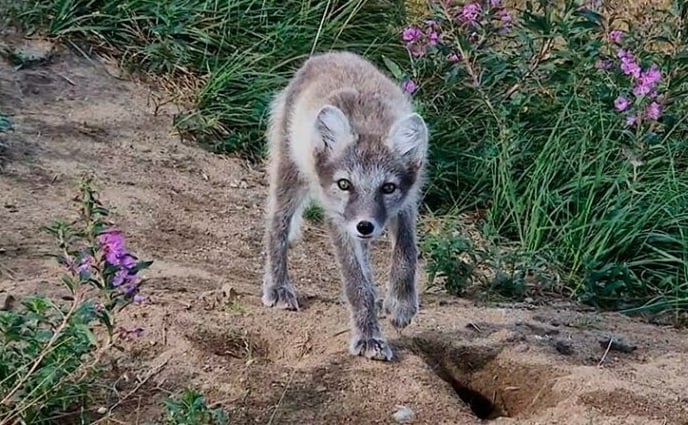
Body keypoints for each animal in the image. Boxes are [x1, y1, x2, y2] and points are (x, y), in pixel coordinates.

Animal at [260, 50, 428, 362]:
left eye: (388, 188)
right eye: (344, 184)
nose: (365, 225)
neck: (370, 122)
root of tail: (327, 55)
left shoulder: (407, 202)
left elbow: (406, 251)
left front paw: (401, 303)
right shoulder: (338, 220)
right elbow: (355, 282)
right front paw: (369, 337)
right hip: (290, 175)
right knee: (277, 227)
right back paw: (277, 286)